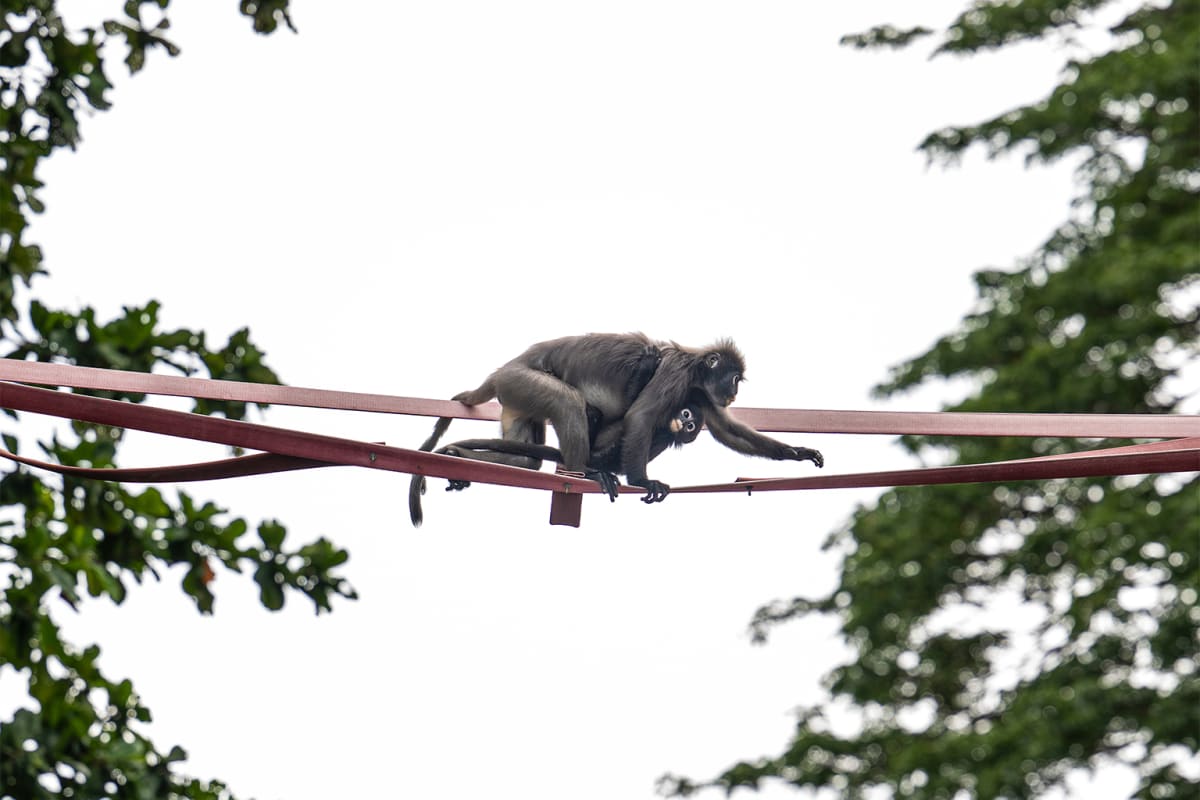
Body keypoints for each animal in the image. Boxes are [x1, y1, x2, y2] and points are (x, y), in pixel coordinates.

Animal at [406, 333, 823, 515]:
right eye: (733, 377)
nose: (733, 389)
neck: (693, 370)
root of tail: (501, 372)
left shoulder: (701, 395)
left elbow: (725, 429)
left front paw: (797, 452)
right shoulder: (677, 374)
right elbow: (642, 416)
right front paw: (642, 480)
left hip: (518, 399)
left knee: (527, 461)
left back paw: (459, 459)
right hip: (524, 382)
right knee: (570, 405)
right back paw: (585, 474)